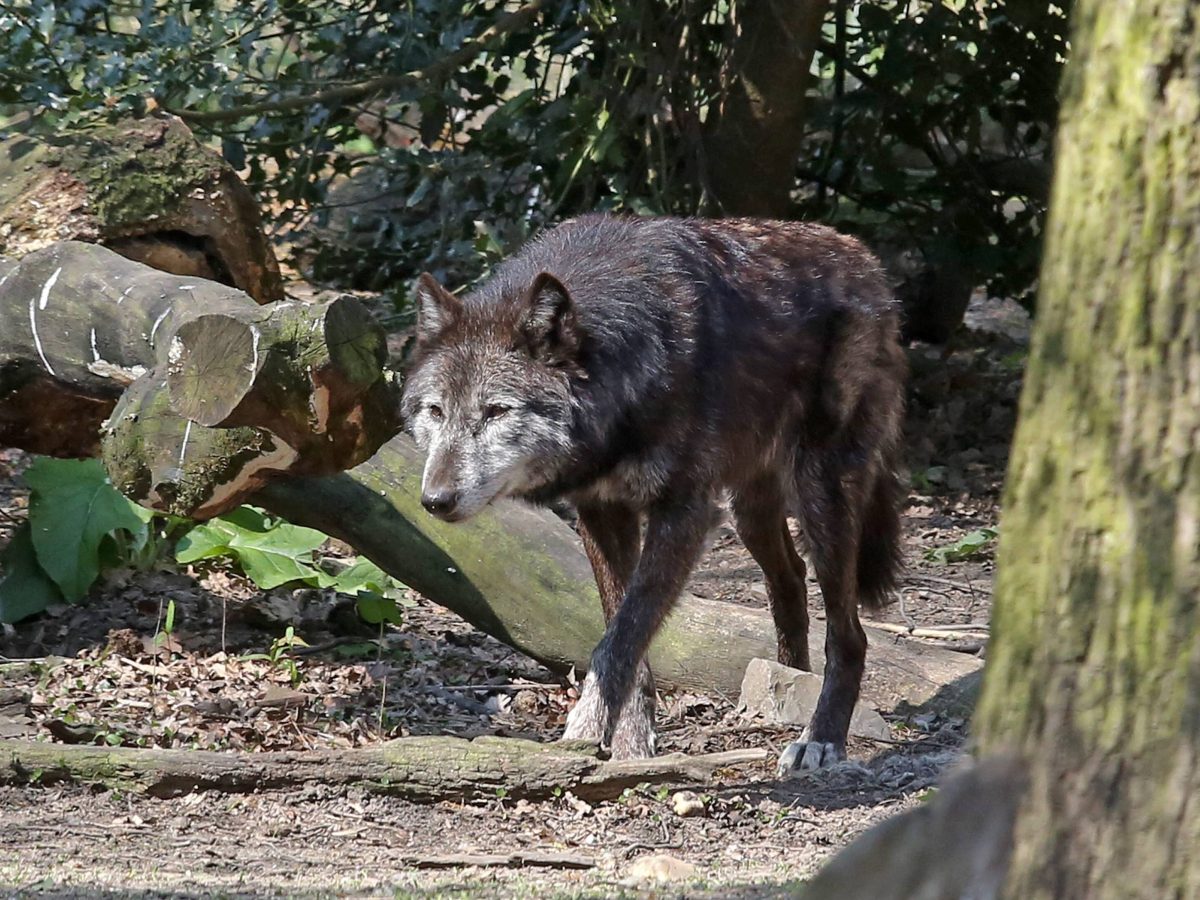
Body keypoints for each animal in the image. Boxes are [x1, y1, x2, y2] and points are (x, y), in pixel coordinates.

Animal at [398, 217, 902, 777]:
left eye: (496, 411)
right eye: (436, 411)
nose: (435, 500)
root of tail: (863, 258)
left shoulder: (685, 514)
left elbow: (622, 636)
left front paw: (585, 731)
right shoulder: (601, 510)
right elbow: (625, 636)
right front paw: (631, 749)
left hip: (820, 497)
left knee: (849, 631)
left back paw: (821, 738)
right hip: (748, 510)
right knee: (789, 578)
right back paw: (787, 685)